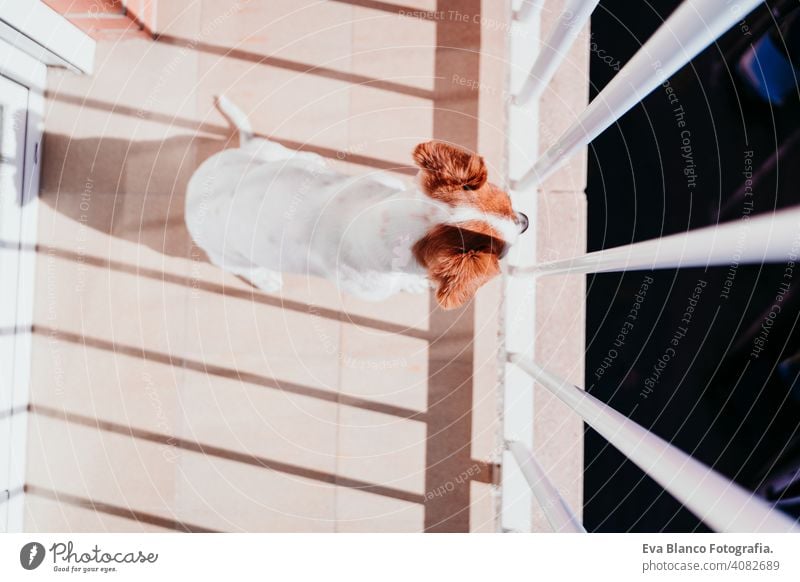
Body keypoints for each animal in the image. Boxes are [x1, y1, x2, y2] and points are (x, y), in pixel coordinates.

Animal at [184, 97, 528, 310]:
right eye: (502, 253)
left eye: (508, 202)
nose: (525, 221)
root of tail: (195, 187)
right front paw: (411, 285)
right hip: (225, 255)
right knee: (241, 267)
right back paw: (265, 277)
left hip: (271, 154)